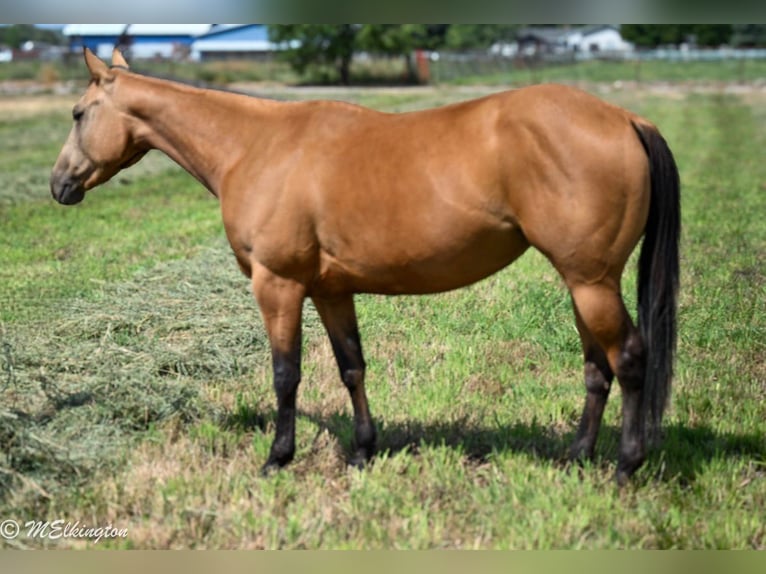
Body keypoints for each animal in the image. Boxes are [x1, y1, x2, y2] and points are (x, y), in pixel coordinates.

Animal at [51, 48, 680, 485]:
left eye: (78, 113)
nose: (59, 185)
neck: (255, 146)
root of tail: (626, 118)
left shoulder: (278, 285)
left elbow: (286, 375)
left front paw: (277, 459)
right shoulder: (331, 291)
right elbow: (351, 367)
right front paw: (361, 451)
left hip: (591, 283)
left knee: (628, 359)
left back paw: (624, 468)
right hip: (584, 284)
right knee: (597, 369)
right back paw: (576, 460)